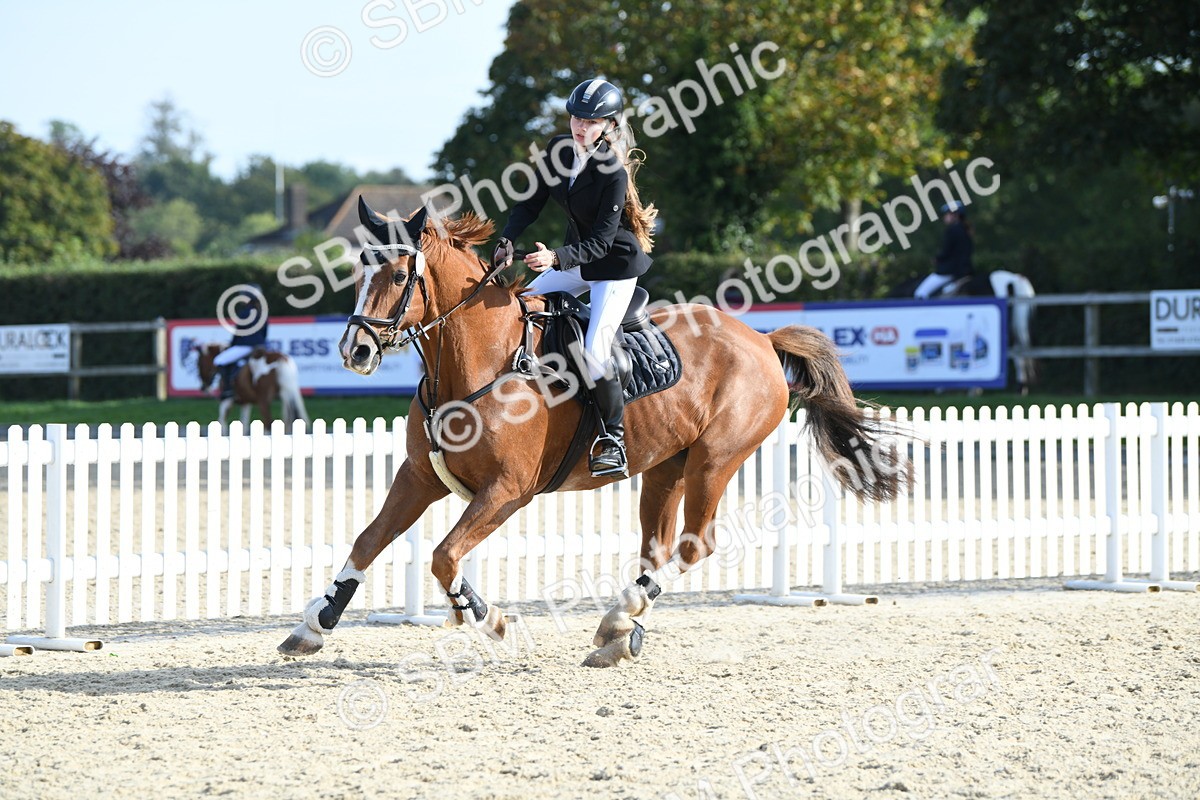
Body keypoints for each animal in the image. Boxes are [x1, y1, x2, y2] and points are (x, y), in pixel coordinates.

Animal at [278, 199, 907, 668]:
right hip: (665, 467)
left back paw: (618, 617)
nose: (354, 351)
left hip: (716, 458)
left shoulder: (507, 492)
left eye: (395, 274)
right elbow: (368, 541)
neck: (477, 362)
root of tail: (761, 338)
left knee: (694, 543)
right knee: (658, 546)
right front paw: (316, 623)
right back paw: (622, 627)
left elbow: (444, 556)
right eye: (358, 272)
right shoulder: (419, 478)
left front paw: (490, 620)